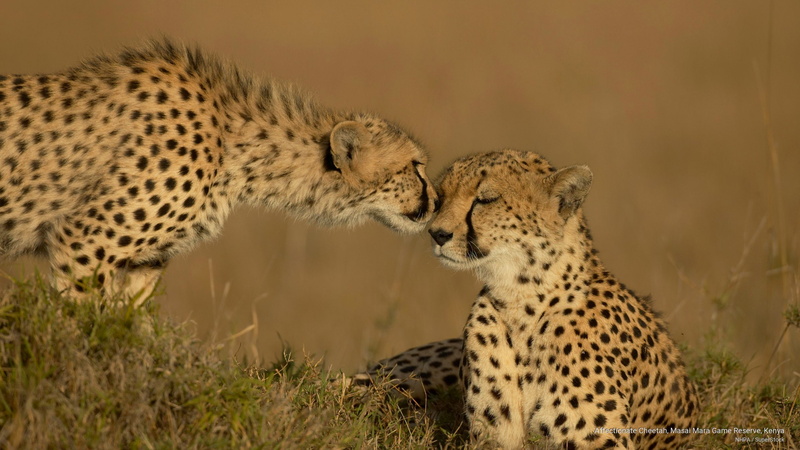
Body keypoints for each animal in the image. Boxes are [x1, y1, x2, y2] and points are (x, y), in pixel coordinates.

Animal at [356, 149, 698, 449]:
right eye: (440, 198)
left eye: (486, 199)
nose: (437, 234)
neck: (521, 299)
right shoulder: (493, 437)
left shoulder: (601, 440)